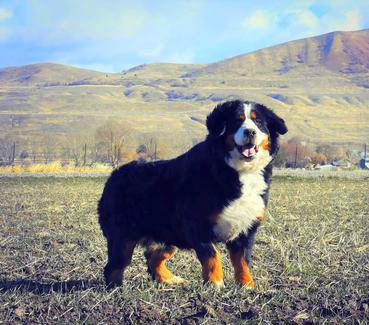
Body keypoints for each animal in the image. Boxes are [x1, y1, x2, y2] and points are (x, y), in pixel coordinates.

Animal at [98, 99, 288, 288]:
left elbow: (242, 261)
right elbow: (212, 254)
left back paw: (170, 279)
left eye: (259, 122)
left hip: (168, 235)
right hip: (123, 237)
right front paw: (215, 283)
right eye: (237, 121)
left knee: (153, 258)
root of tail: (115, 173)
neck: (235, 170)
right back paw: (116, 287)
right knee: (114, 266)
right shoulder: (197, 224)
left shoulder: (245, 228)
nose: (250, 131)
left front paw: (247, 285)